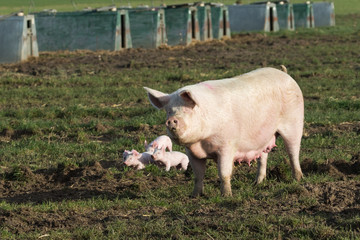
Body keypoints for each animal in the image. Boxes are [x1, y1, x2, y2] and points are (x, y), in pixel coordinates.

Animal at [144, 67, 304, 197]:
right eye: (169, 111)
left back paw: (297, 179)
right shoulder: (191, 152)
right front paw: (194, 196)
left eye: (187, 109)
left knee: (293, 153)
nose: (172, 120)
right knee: (263, 157)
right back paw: (257, 183)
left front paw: (226, 196)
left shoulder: (227, 146)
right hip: (265, 136)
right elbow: (198, 175)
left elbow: (224, 173)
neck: (202, 142)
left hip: (295, 123)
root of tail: (285, 74)